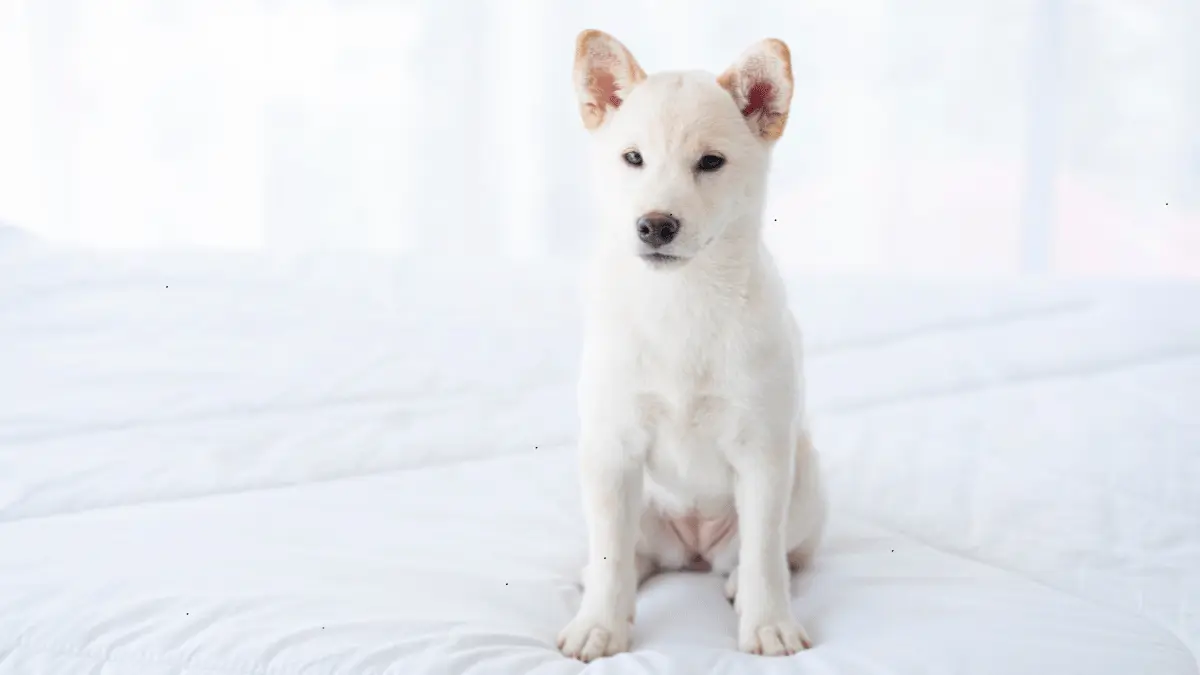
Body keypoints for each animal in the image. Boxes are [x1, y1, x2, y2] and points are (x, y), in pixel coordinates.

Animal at [554, 30, 825, 658]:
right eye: (633, 158)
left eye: (710, 162)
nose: (656, 225)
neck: (682, 300)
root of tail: (695, 550)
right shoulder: (611, 451)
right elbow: (611, 556)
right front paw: (600, 624)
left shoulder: (763, 456)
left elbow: (765, 555)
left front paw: (768, 623)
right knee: (628, 554)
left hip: (804, 482)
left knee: (771, 555)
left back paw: (739, 584)